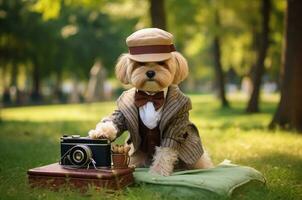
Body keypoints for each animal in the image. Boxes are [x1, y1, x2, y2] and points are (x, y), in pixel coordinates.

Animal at [88, 27, 214, 175]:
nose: (150, 72)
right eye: (140, 64)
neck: (151, 96)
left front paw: (158, 170)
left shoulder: (175, 124)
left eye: (161, 63)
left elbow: (166, 150)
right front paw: (100, 133)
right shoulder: (122, 113)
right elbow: (112, 122)